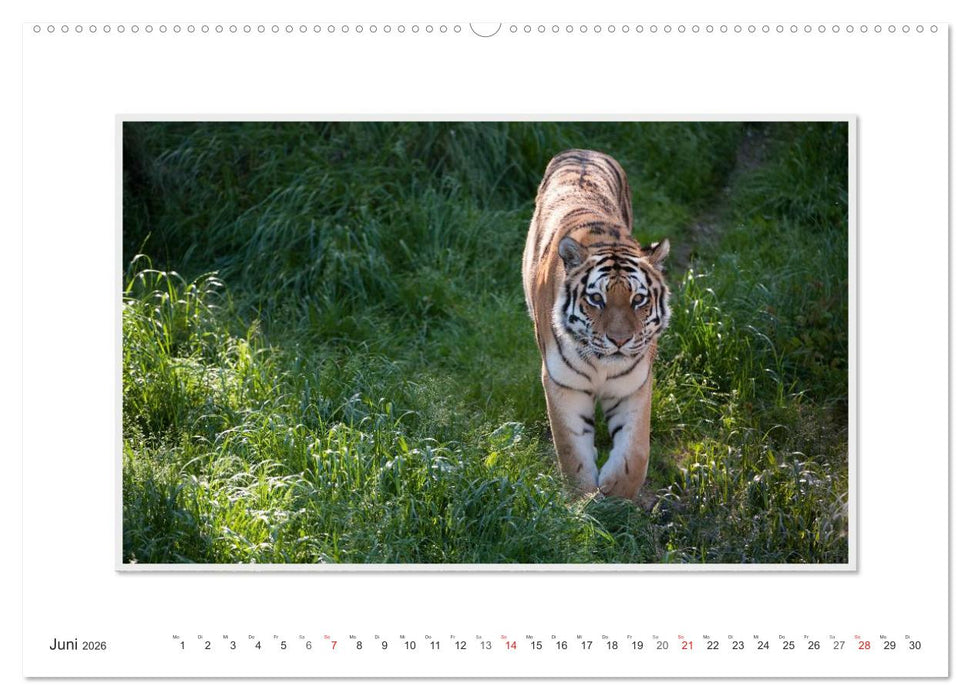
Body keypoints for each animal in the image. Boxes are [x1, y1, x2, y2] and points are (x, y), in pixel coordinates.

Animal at [522, 149, 671, 499]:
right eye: (596, 299)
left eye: (638, 299)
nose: (619, 340)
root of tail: (582, 151)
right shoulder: (564, 384)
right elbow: (571, 449)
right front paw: (584, 497)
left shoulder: (634, 384)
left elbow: (636, 452)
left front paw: (615, 493)